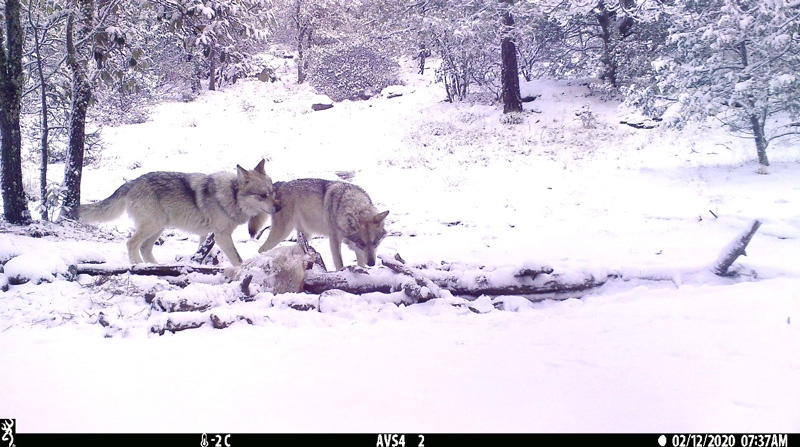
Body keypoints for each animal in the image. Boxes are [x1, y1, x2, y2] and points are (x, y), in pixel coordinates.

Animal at [76, 161, 282, 266]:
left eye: (272, 192)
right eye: (262, 195)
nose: (279, 208)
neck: (231, 195)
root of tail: (132, 182)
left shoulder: (207, 234)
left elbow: (201, 254)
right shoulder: (222, 235)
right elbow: (237, 259)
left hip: (159, 227)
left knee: (145, 248)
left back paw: (155, 267)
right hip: (153, 225)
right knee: (131, 244)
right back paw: (138, 266)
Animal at [248, 179, 390, 272]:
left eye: (375, 242)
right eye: (361, 243)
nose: (372, 263)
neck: (354, 204)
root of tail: (278, 185)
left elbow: (360, 263)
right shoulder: (334, 240)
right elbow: (339, 263)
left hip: (304, 234)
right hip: (282, 233)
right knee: (261, 249)